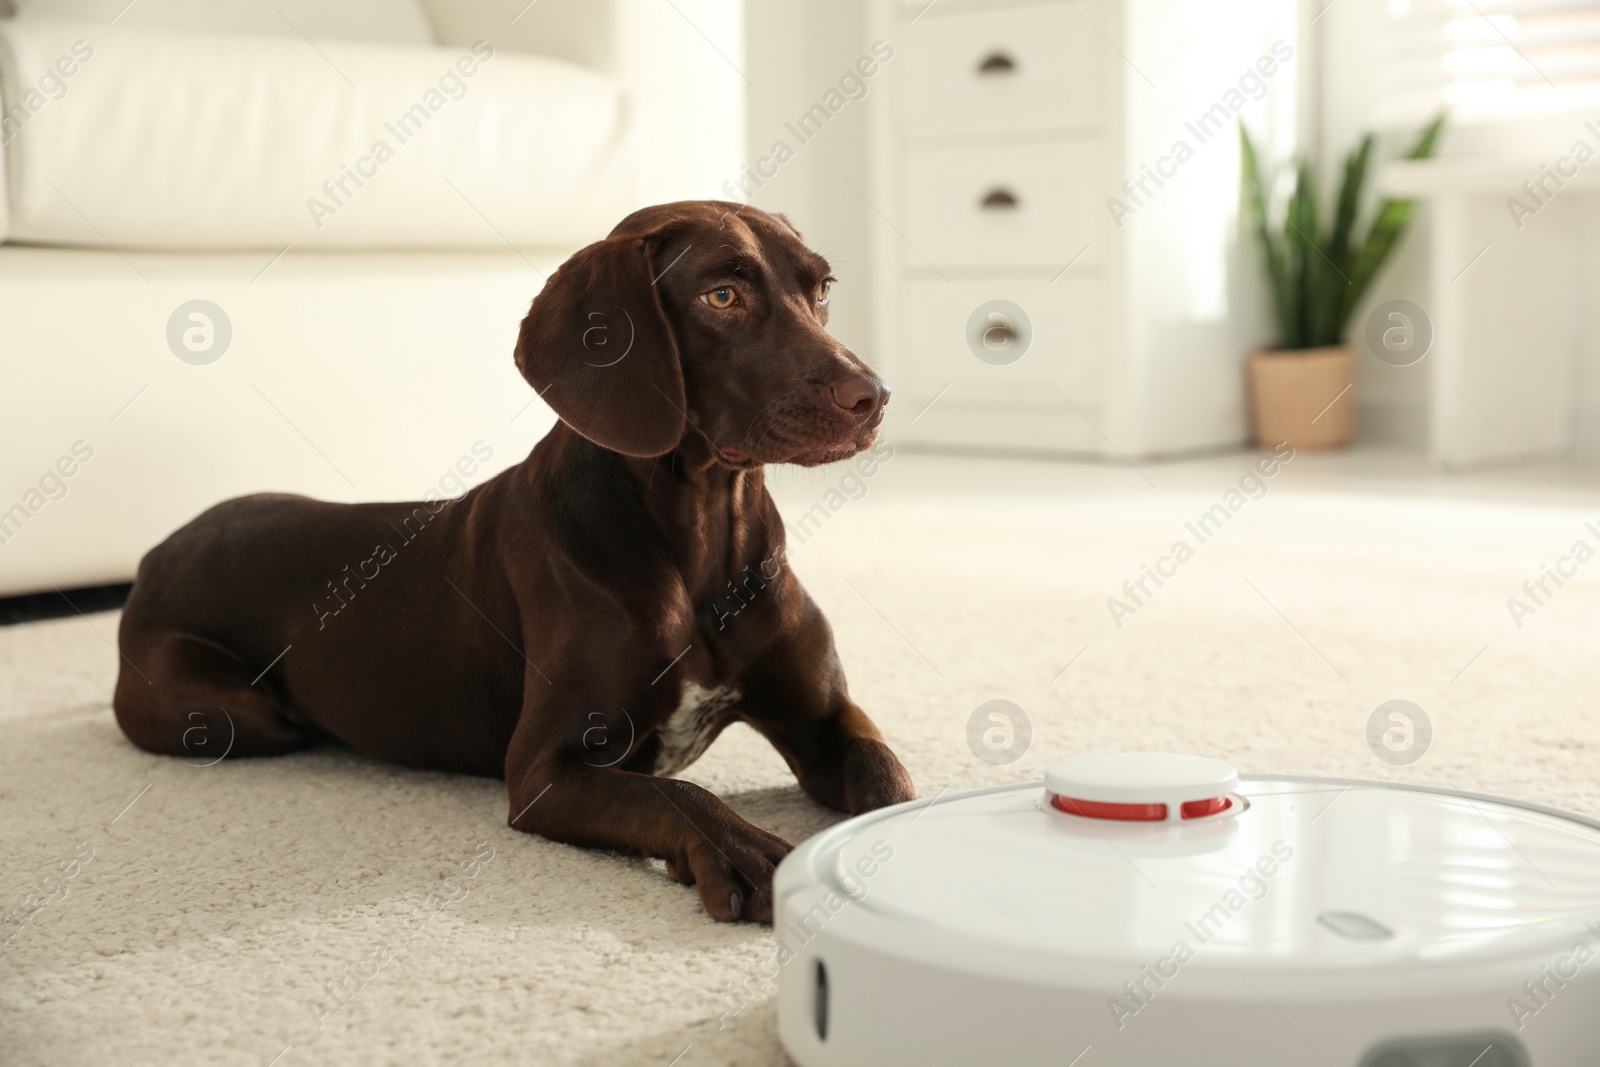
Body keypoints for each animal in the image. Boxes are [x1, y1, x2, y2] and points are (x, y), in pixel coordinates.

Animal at [112, 204, 921, 921]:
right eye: (722, 295)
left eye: (822, 288)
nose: (874, 396)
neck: (703, 540)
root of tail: (154, 553)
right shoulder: (544, 768)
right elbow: (674, 793)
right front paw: (743, 852)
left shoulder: (823, 717)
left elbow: (888, 776)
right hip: (237, 716)